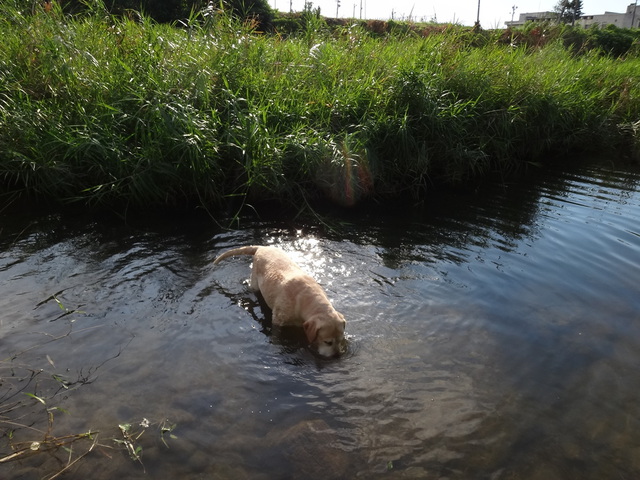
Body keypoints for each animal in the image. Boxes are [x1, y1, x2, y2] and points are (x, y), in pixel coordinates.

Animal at [212, 248, 344, 356]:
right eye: (328, 342)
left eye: (340, 340)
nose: (337, 355)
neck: (305, 299)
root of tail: (262, 247)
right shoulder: (277, 321)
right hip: (254, 283)